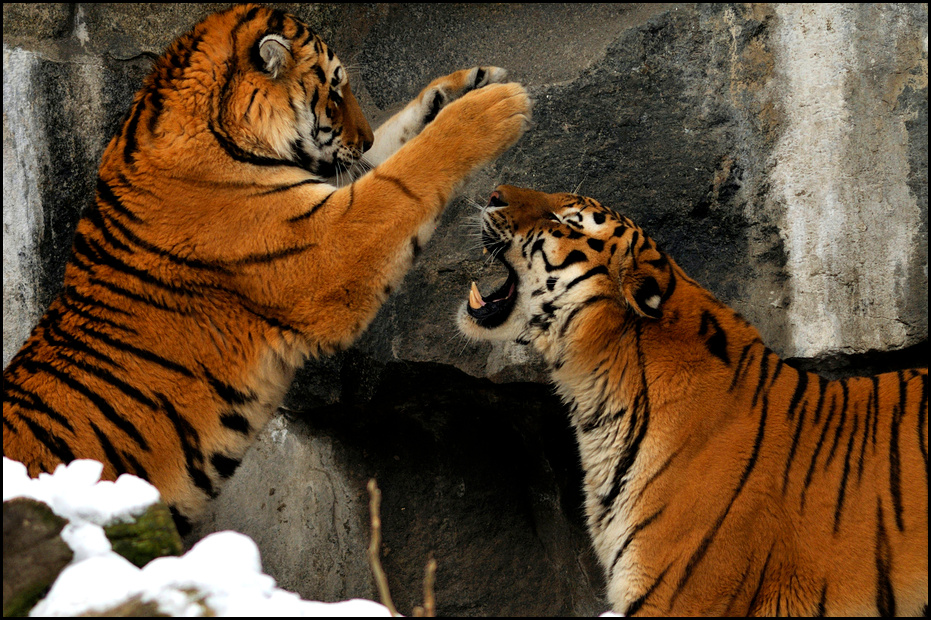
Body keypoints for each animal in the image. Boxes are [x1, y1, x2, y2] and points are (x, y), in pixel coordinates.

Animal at [2, 3, 530, 535]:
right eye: (334, 91)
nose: (364, 141)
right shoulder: (327, 248)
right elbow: (404, 174)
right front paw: (495, 105)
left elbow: (396, 145)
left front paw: (466, 84)